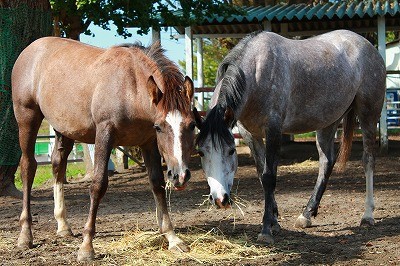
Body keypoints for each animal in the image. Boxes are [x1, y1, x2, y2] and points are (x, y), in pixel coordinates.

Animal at [13, 38, 197, 262]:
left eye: (191, 125)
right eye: (160, 126)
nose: (180, 176)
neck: (130, 87)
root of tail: (30, 49)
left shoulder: (148, 142)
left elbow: (157, 184)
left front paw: (173, 238)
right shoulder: (104, 134)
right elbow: (98, 185)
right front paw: (86, 247)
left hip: (64, 129)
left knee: (58, 165)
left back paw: (63, 226)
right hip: (27, 119)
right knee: (28, 167)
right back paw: (25, 235)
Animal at [195, 30, 386, 244]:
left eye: (230, 151)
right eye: (201, 152)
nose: (220, 199)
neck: (256, 73)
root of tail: (368, 46)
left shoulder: (273, 130)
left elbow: (269, 177)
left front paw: (266, 230)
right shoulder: (249, 134)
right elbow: (261, 175)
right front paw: (274, 222)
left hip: (368, 114)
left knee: (368, 159)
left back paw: (367, 215)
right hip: (328, 122)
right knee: (326, 162)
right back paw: (307, 215)